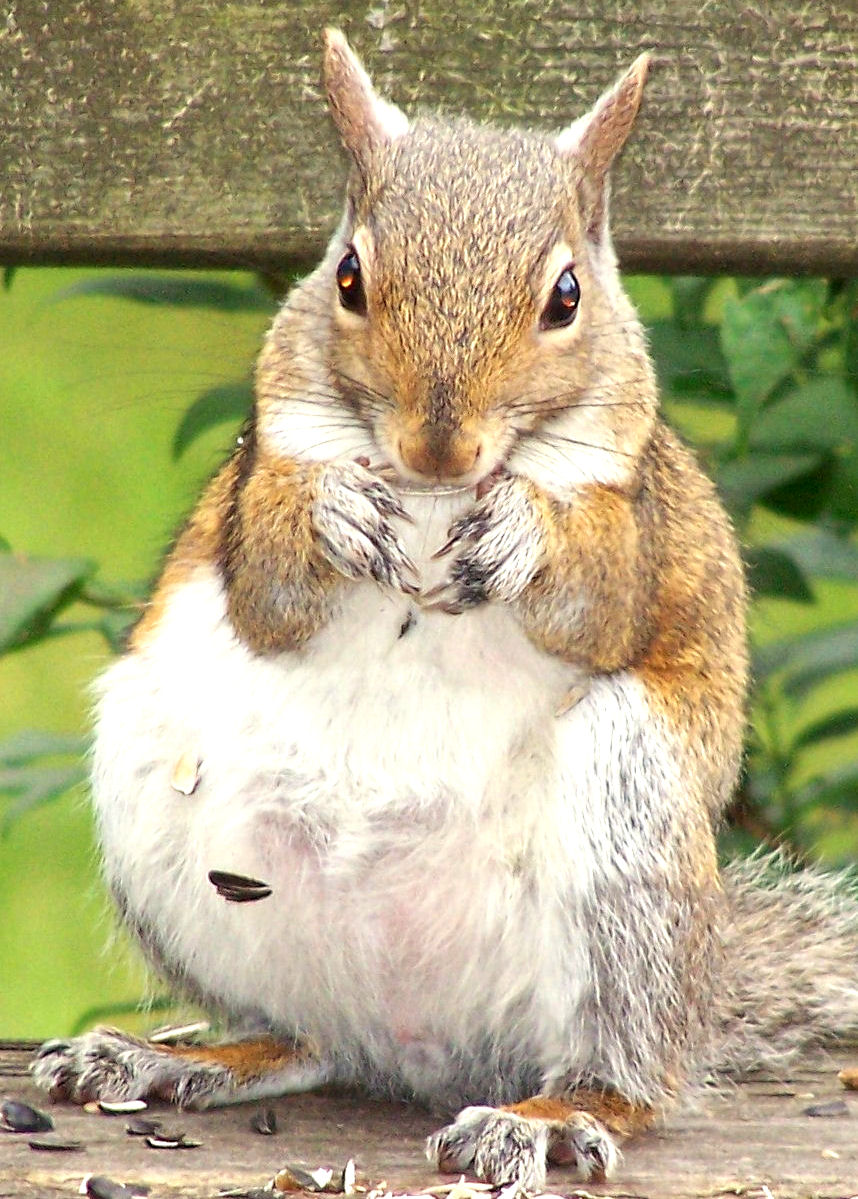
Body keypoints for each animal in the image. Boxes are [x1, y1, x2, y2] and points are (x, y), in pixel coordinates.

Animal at [32, 29, 858, 1190]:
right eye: (348, 276)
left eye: (567, 296)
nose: (437, 447)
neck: (428, 501)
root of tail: (422, 1037)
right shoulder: (254, 489)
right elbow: (269, 580)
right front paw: (333, 511)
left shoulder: (639, 525)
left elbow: (603, 591)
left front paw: (522, 532)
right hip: (162, 796)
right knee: (307, 1036)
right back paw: (179, 1055)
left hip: (630, 831)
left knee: (634, 1071)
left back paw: (552, 1113)